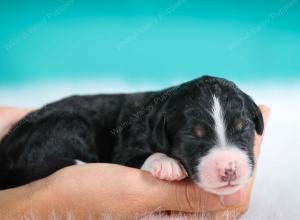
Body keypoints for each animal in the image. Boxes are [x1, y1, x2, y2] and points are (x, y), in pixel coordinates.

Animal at [0, 75, 262, 194]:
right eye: (192, 137)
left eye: (243, 128)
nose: (229, 169)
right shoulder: (124, 149)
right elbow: (141, 156)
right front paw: (167, 164)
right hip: (68, 123)